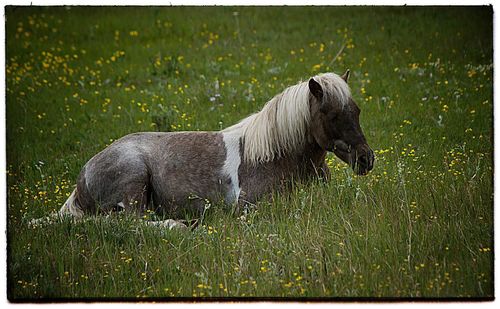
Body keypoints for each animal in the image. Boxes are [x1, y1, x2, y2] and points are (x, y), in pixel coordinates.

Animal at [40, 70, 376, 229]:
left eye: (357, 111)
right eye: (332, 114)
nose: (366, 159)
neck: (275, 156)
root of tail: (82, 178)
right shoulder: (250, 207)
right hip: (133, 181)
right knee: (131, 223)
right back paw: (179, 226)